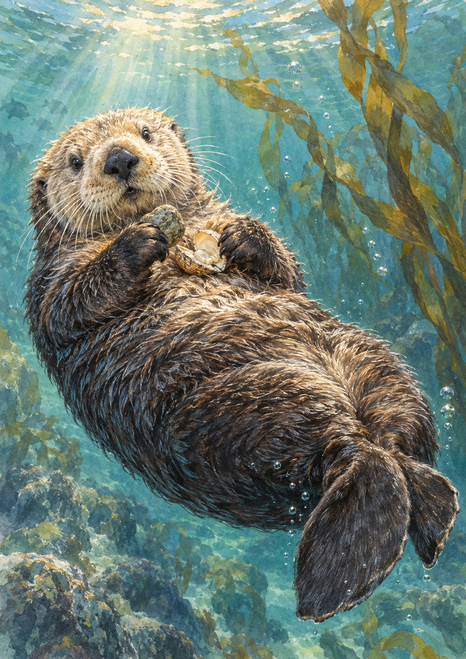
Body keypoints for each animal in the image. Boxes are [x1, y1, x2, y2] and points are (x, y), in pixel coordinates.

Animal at [25, 107, 459, 622]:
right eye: (75, 161)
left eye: (145, 134)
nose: (119, 159)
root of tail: (361, 437)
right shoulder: (52, 280)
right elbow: (69, 304)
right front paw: (139, 241)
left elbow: (288, 273)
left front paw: (244, 236)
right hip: (238, 410)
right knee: (357, 453)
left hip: (375, 362)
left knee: (401, 441)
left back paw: (432, 516)